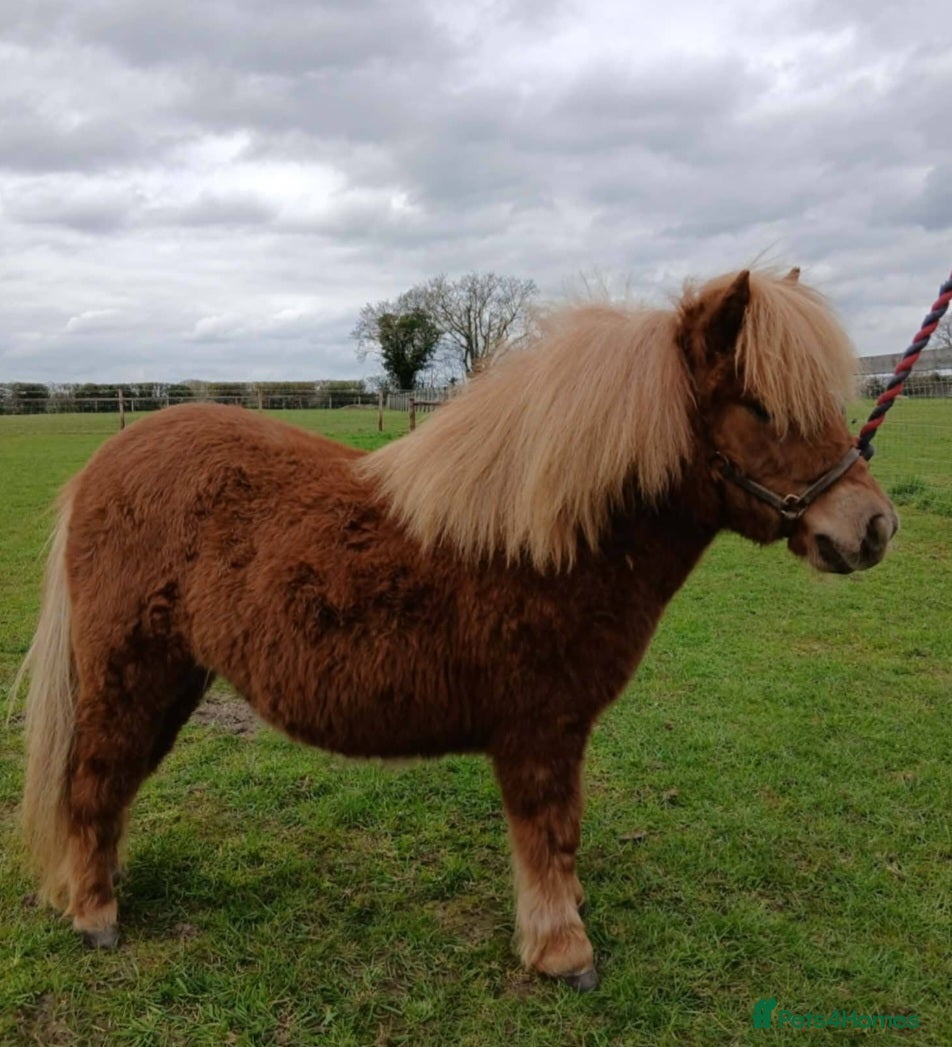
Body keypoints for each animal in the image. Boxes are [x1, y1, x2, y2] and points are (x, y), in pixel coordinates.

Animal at [14, 268, 897, 991]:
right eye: (762, 408)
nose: (873, 527)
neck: (554, 539)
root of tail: (103, 467)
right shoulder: (540, 730)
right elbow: (550, 831)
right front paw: (561, 949)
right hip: (132, 674)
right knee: (94, 781)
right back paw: (95, 913)